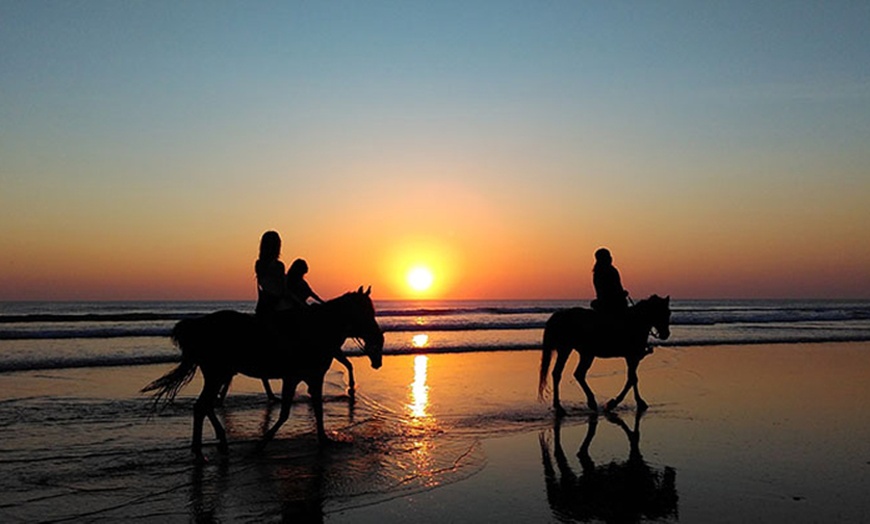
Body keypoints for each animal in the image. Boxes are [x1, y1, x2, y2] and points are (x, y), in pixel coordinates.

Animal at [142, 286, 382, 458]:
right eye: (366, 312)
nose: (378, 338)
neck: (315, 329)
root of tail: (198, 326)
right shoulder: (297, 377)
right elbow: (288, 412)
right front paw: (262, 443)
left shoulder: (308, 378)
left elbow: (316, 409)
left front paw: (323, 439)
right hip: (217, 374)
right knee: (203, 406)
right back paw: (204, 449)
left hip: (217, 375)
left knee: (205, 405)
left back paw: (215, 443)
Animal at [540, 294, 676, 414]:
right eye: (661, 312)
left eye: (668, 312)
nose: (666, 334)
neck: (635, 321)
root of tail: (560, 315)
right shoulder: (632, 356)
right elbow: (632, 379)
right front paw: (614, 403)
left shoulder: (632, 358)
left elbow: (632, 378)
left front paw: (637, 402)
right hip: (573, 351)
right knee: (569, 373)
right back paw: (579, 403)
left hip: (579, 352)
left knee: (567, 373)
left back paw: (567, 405)